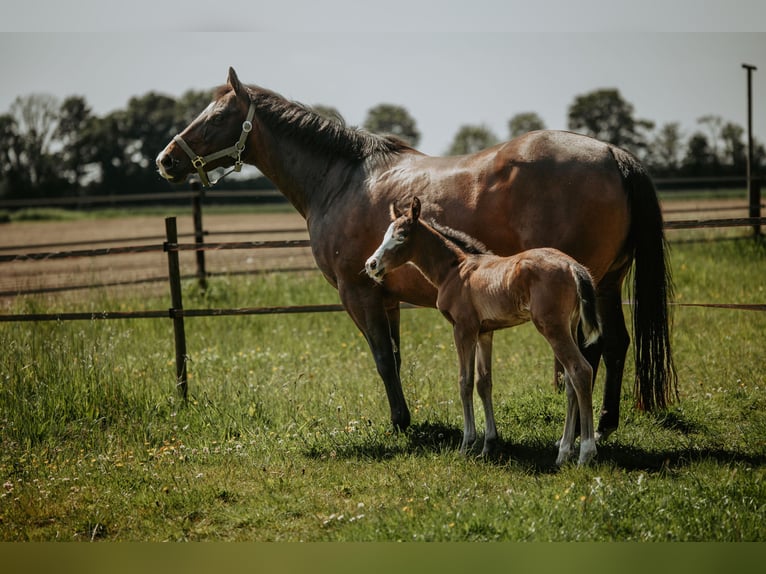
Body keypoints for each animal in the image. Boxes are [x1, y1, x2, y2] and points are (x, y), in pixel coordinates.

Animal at [365, 196, 600, 465]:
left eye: (401, 236)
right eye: (385, 234)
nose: (371, 264)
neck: (454, 270)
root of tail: (573, 266)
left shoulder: (463, 329)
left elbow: (464, 382)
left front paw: (466, 444)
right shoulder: (484, 332)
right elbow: (483, 382)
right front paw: (488, 444)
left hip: (551, 327)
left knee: (580, 371)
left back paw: (585, 453)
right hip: (569, 326)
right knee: (571, 381)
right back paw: (564, 452)